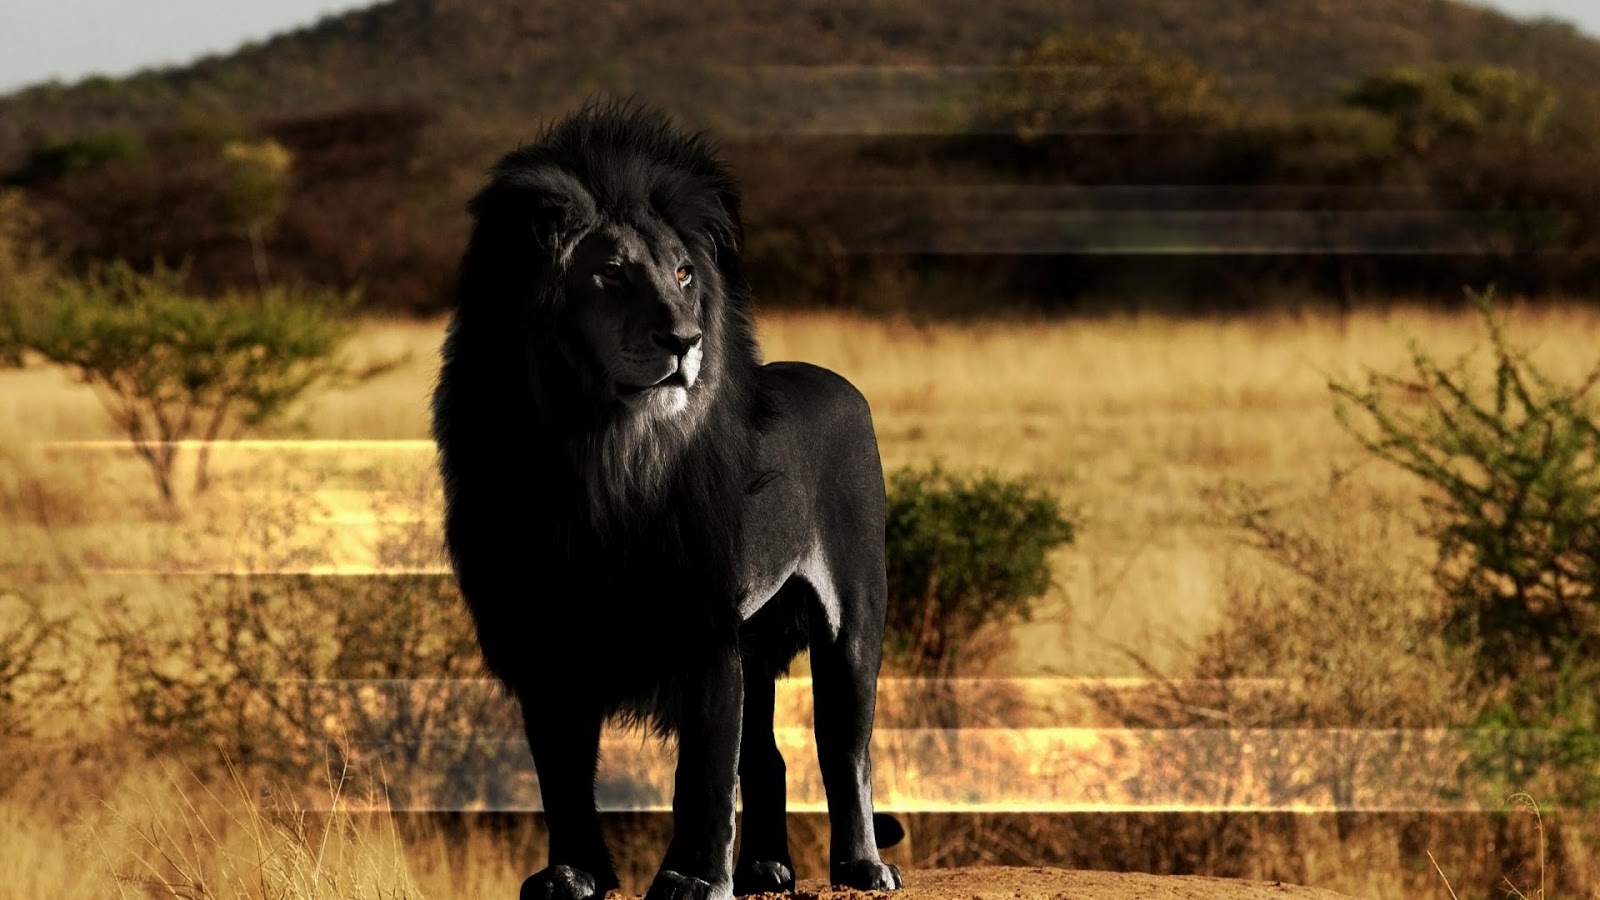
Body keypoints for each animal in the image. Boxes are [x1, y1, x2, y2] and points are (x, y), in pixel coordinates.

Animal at [429, 102, 904, 900]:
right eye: (610, 274)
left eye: (683, 273)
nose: (687, 338)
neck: (599, 453)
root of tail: (838, 380)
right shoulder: (543, 637)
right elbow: (562, 777)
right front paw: (574, 875)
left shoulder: (704, 626)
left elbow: (703, 773)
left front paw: (692, 880)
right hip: (758, 638)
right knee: (768, 757)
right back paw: (766, 869)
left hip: (853, 621)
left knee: (846, 750)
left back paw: (862, 866)